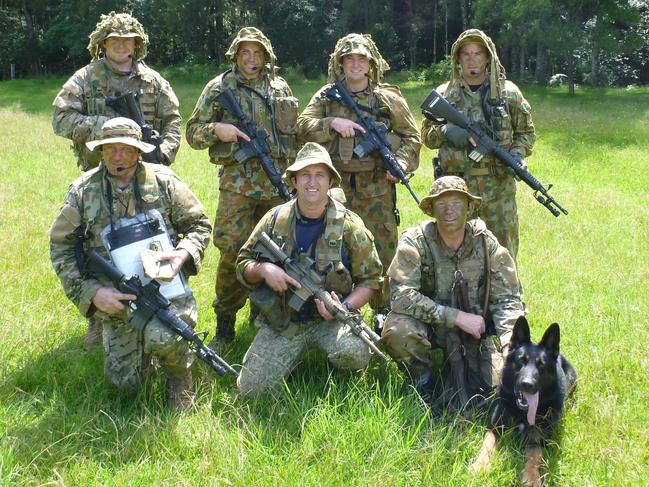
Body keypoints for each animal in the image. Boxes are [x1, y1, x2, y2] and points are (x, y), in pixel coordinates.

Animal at [470, 318, 576, 486]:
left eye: (541, 364)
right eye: (521, 360)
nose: (527, 384)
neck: (521, 411)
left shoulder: (537, 438)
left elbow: (534, 456)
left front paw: (531, 476)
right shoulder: (495, 426)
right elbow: (487, 444)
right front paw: (480, 465)